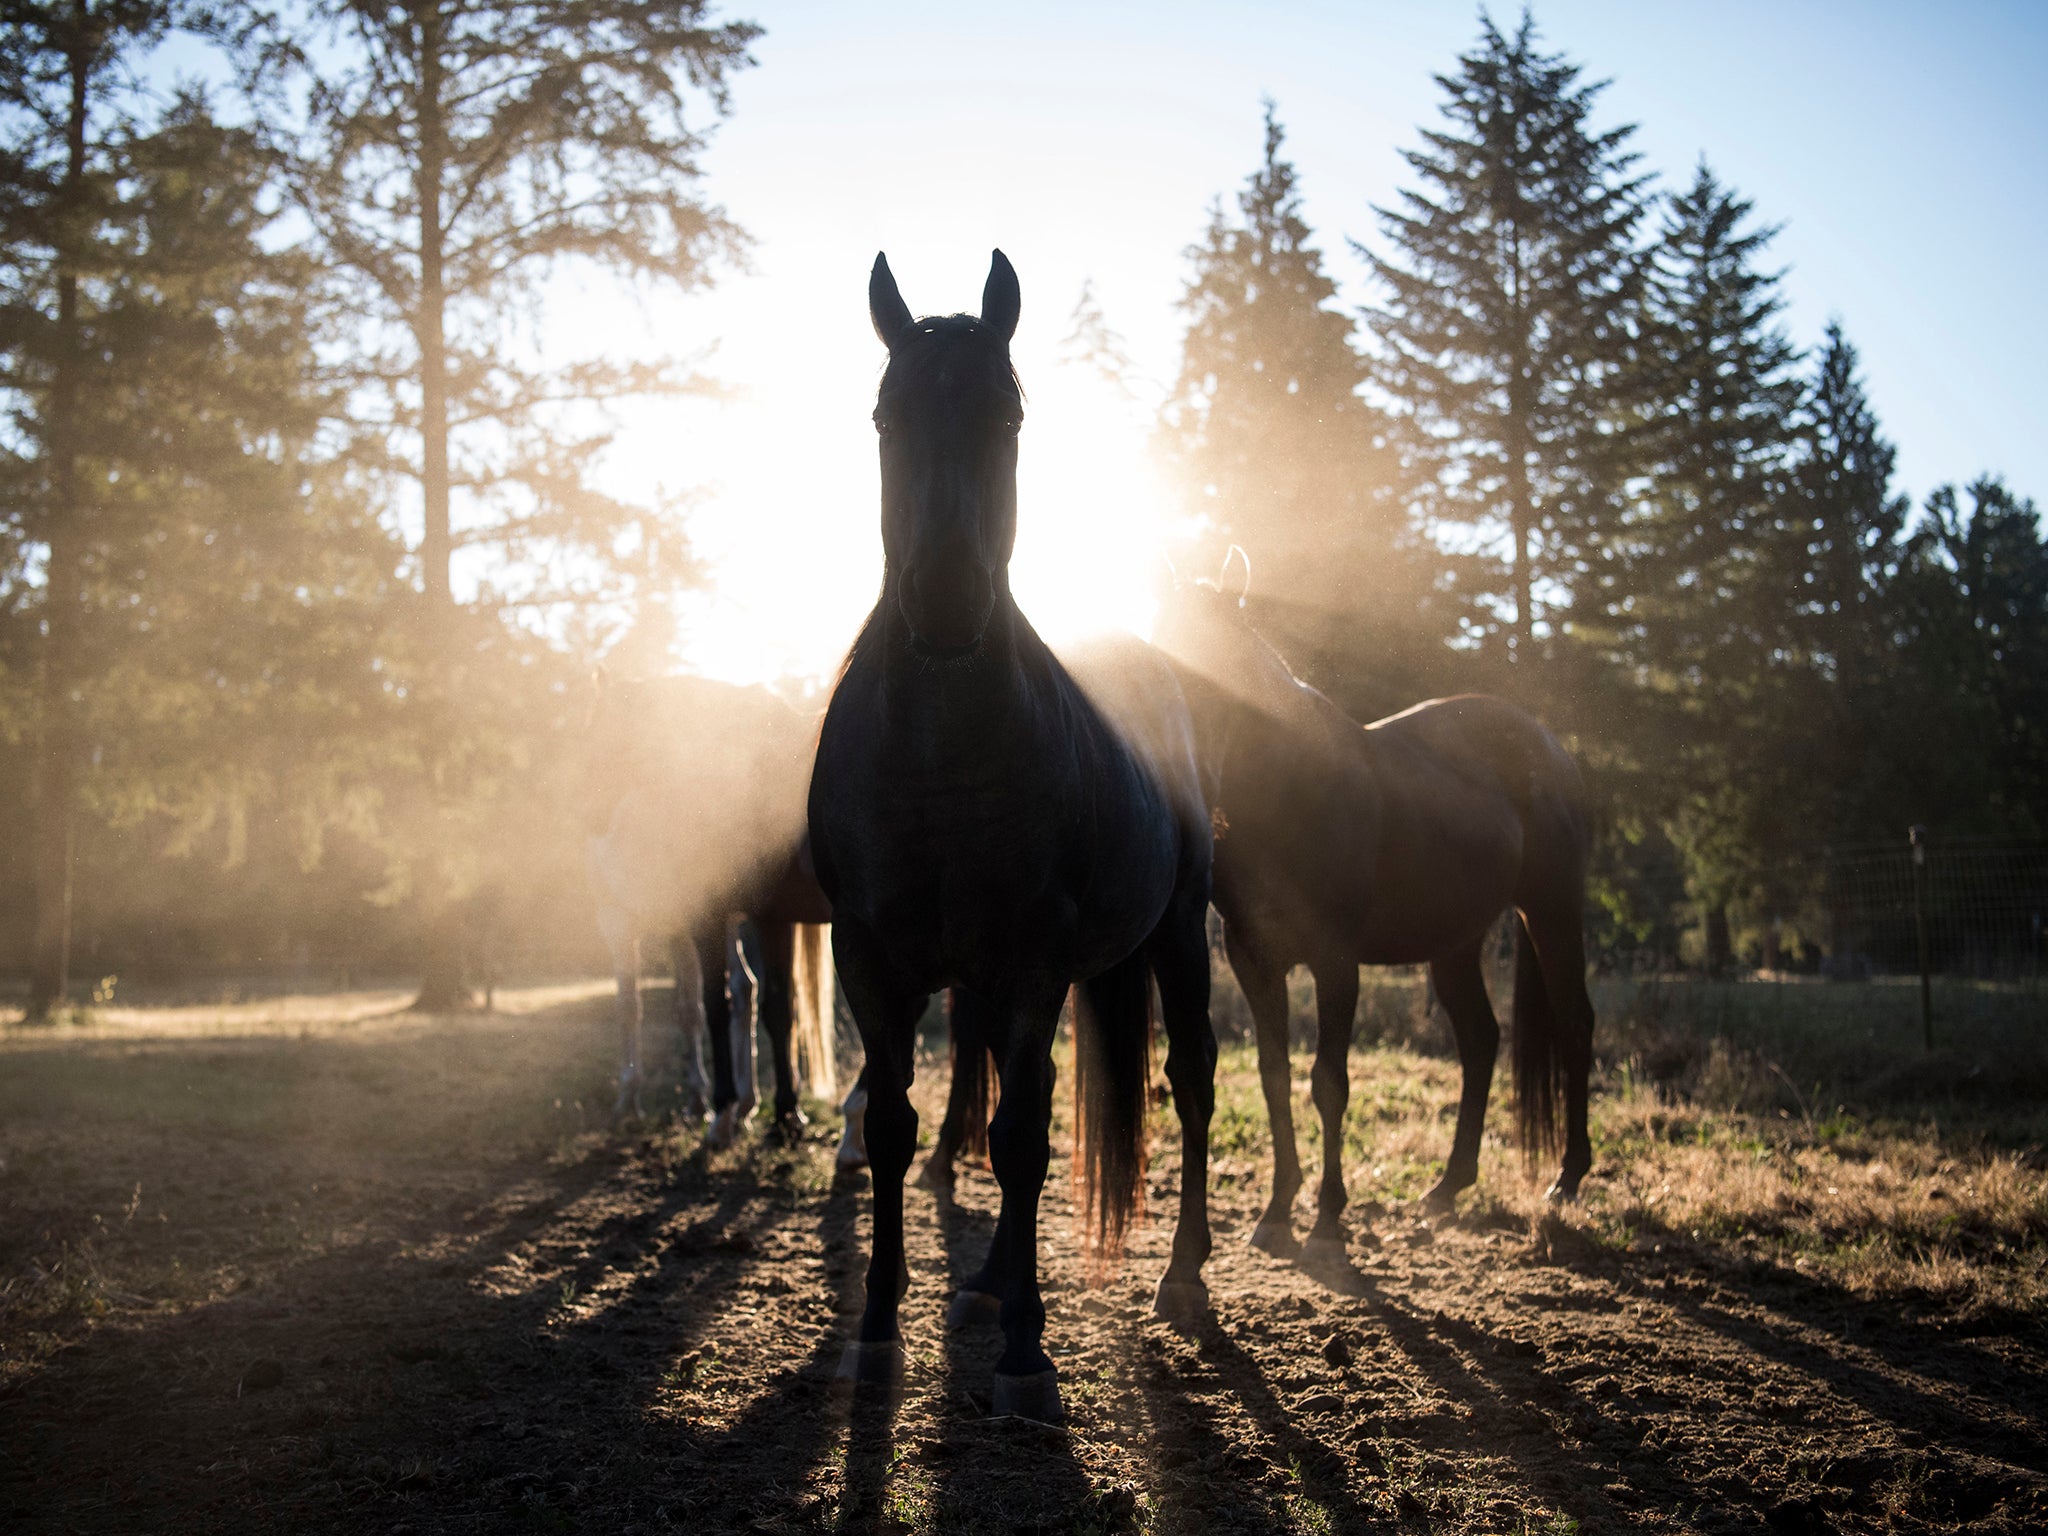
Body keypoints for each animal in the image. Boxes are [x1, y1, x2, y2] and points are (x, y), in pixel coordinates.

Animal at [798, 256, 1212, 1433]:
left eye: (1010, 415)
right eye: (887, 415)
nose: (943, 601)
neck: (939, 753)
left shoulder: (1032, 961)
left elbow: (1023, 1139)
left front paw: (1028, 1349)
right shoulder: (872, 959)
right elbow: (894, 1130)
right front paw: (878, 1327)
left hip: (1179, 933)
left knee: (1194, 1082)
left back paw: (1180, 1274)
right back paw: (983, 1281)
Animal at [1155, 581, 1597, 1269]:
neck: (1286, 794)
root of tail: (1550, 747)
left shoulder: (1336, 960)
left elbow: (1328, 1082)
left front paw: (1326, 1221)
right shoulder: (1254, 960)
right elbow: (1275, 1078)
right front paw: (1277, 1212)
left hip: (1552, 910)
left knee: (1575, 1024)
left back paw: (1566, 1179)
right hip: (1455, 943)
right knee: (1481, 1041)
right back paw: (1447, 1188)